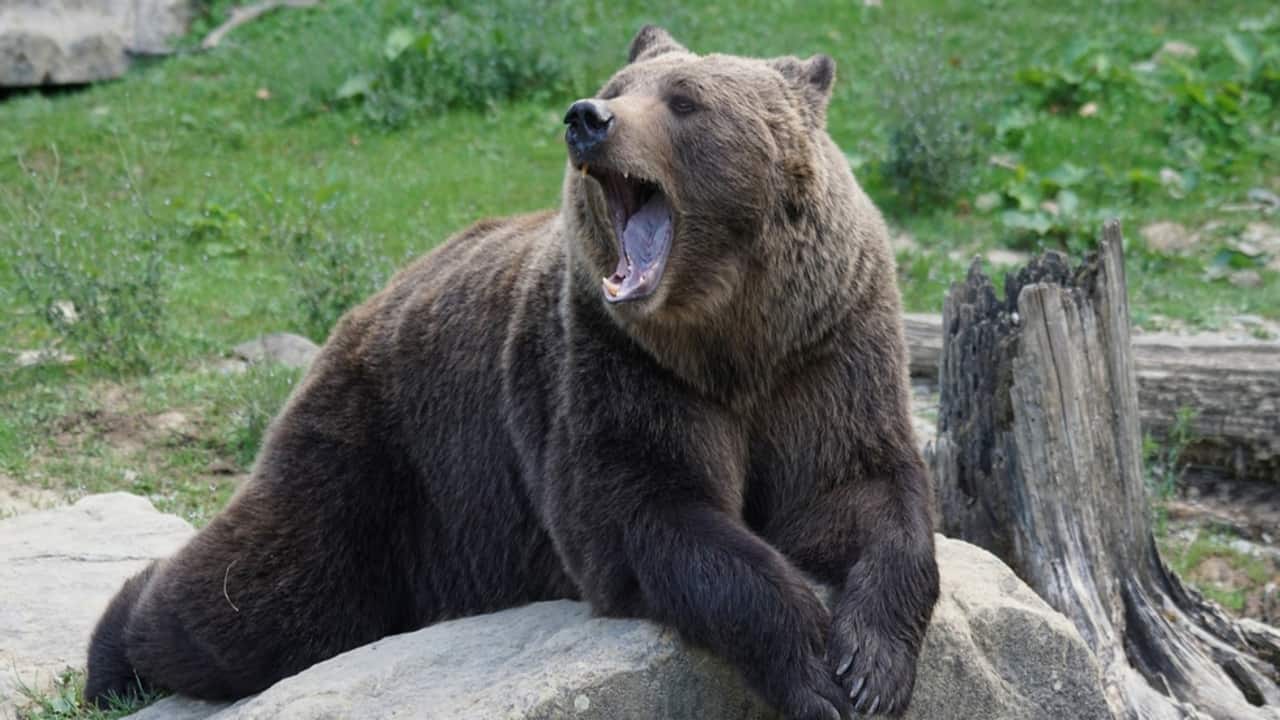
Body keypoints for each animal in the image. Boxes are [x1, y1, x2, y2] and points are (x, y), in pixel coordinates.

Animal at [85, 26, 939, 720]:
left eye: (685, 100)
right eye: (619, 87)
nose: (586, 117)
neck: (728, 334)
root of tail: (366, 305)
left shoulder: (826, 348)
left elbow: (860, 490)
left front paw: (870, 667)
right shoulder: (615, 366)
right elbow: (650, 512)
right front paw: (812, 667)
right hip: (386, 458)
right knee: (264, 600)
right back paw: (114, 654)